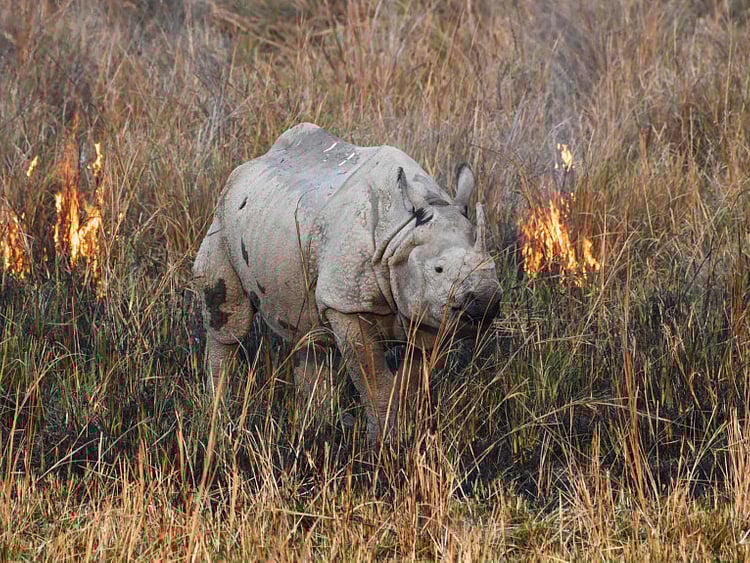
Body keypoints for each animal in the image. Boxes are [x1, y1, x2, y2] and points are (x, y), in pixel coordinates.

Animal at [193, 123, 500, 443]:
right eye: (439, 269)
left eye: (492, 264)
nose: (485, 301)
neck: (402, 233)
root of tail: (248, 165)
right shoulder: (346, 303)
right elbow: (374, 378)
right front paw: (385, 443)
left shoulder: (425, 313)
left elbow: (413, 379)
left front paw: (405, 432)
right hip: (223, 219)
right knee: (229, 321)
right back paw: (219, 414)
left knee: (309, 333)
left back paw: (319, 426)